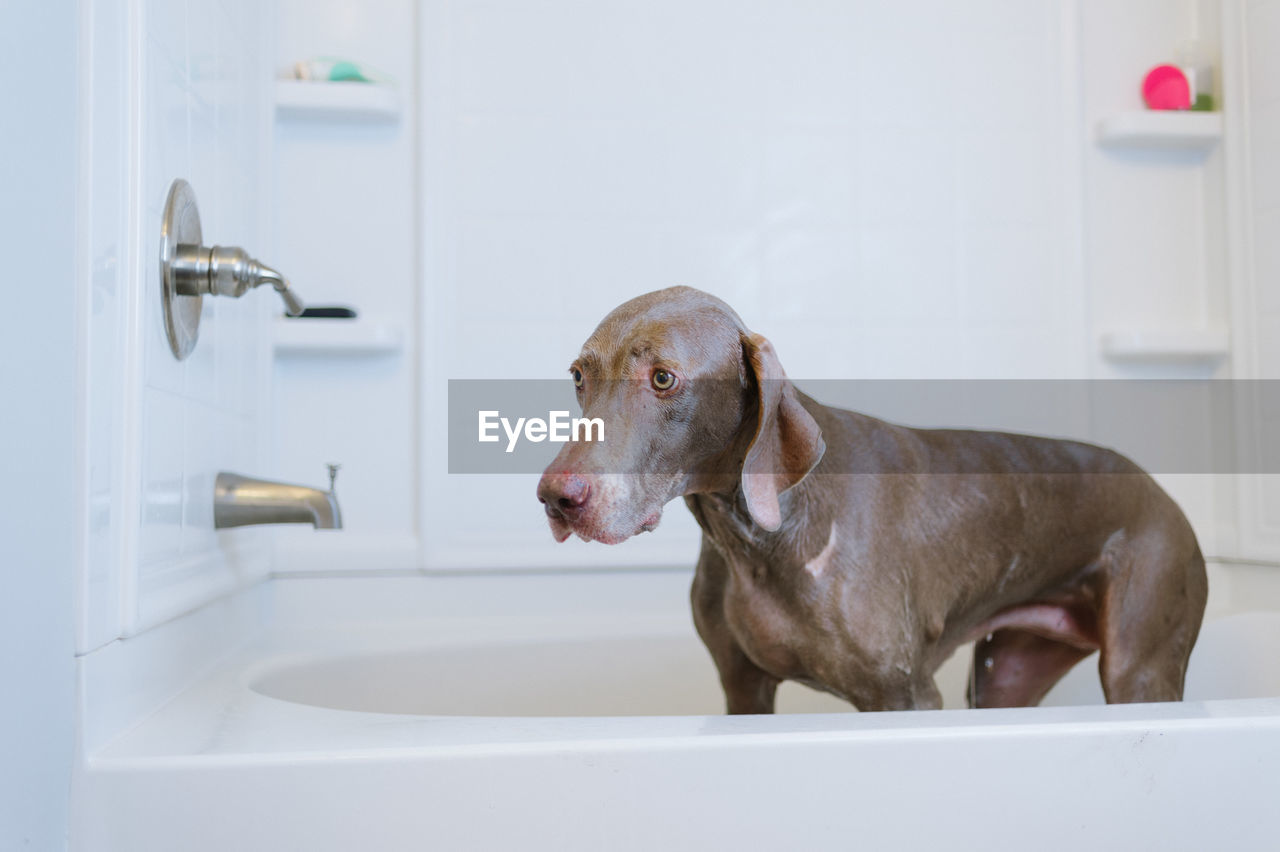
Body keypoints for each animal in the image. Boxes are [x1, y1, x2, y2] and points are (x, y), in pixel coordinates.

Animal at [535, 285, 1203, 711]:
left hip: (1140, 668)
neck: (754, 542)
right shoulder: (743, 690)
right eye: (578, 375)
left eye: (664, 378)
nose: (556, 497)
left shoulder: (904, 696)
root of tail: (1162, 492)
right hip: (1008, 674)